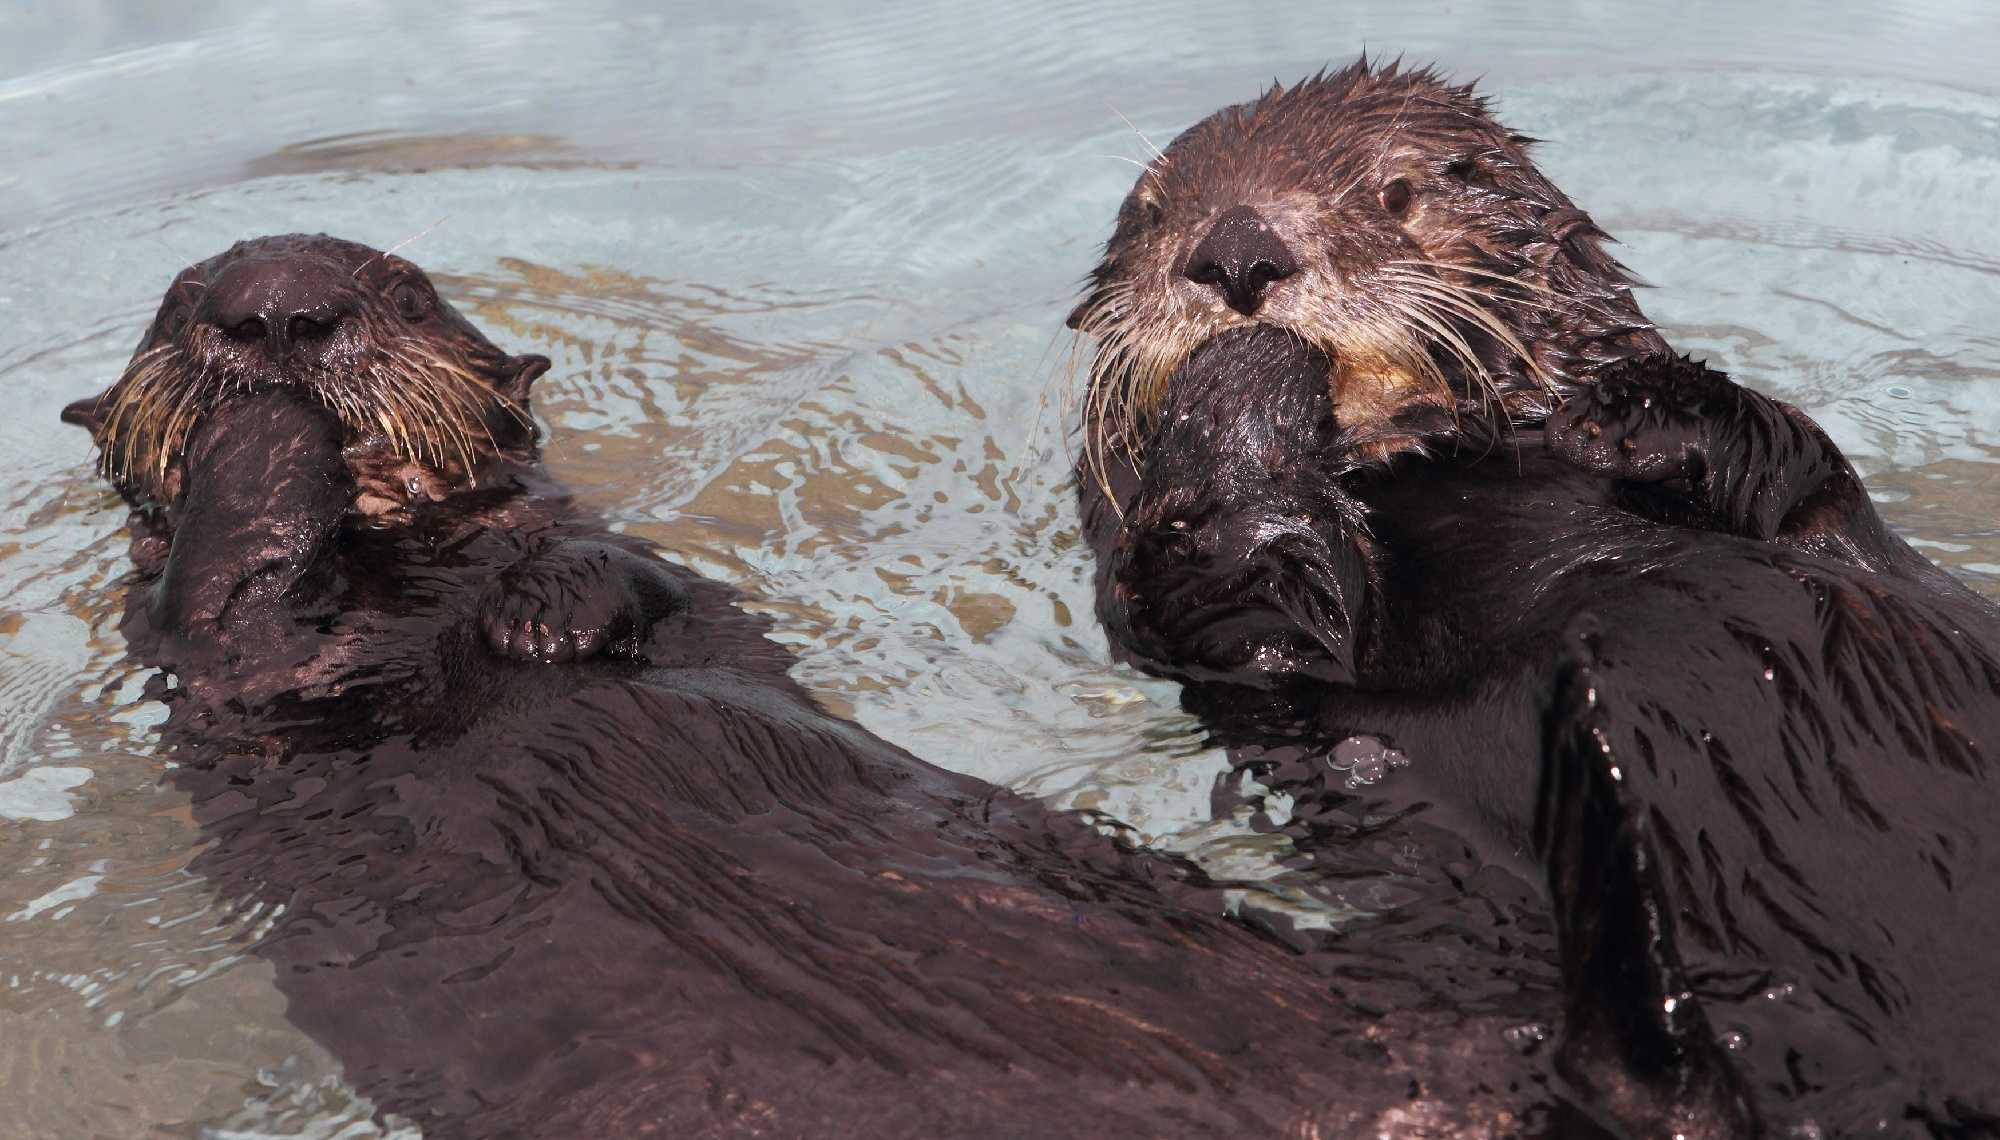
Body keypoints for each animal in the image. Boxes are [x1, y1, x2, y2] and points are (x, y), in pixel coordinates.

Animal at [64, 235, 1580, 1139]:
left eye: (402, 294)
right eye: (177, 307)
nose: (274, 316)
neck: (409, 579)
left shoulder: (631, 562)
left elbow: (629, 581)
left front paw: (549, 616)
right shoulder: (222, 674)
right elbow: (232, 627)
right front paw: (259, 446)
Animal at [1074, 65, 2000, 1137]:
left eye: (1397, 195)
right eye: (1154, 213)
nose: (1235, 253)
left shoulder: (1831, 527)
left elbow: (1809, 484)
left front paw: (1641, 417)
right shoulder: (1210, 627)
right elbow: (1242, 596)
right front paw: (1241, 377)